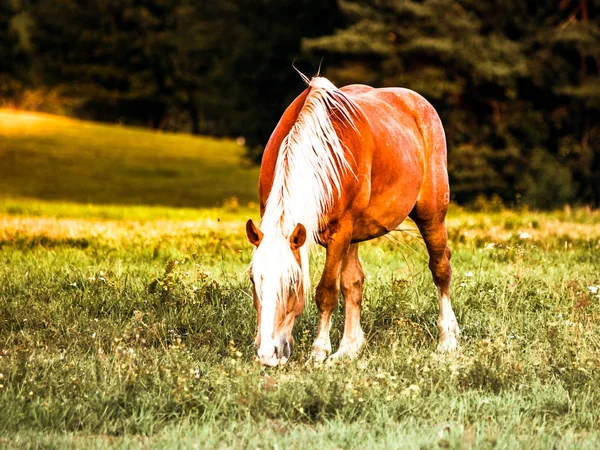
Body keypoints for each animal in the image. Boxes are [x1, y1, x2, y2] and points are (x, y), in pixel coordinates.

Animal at [244, 75, 460, 368]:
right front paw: (342, 348)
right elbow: (348, 285)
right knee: (354, 283)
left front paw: (319, 350)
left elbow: (326, 292)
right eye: (254, 279)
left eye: (293, 282)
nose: (268, 354)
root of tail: (417, 102)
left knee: (440, 269)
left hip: (431, 214)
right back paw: (349, 347)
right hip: (356, 235)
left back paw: (447, 338)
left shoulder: (340, 232)